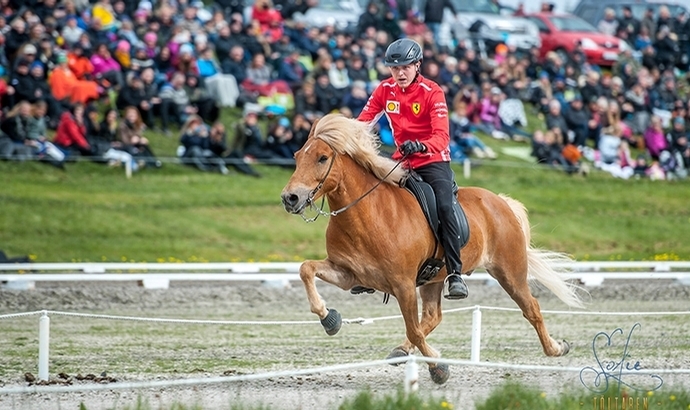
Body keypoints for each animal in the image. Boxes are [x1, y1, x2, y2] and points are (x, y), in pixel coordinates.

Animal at [280, 113, 580, 384]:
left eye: (322, 158)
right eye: (297, 155)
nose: (290, 198)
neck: (367, 214)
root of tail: (501, 202)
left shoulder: (402, 285)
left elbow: (414, 330)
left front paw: (438, 368)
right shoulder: (348, 274)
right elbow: (306, 269)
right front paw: (329, 318)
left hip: (509, 272)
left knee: (532, 308)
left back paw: (556, 348)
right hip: (434, 278)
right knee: (433, 317)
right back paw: (401, 351)